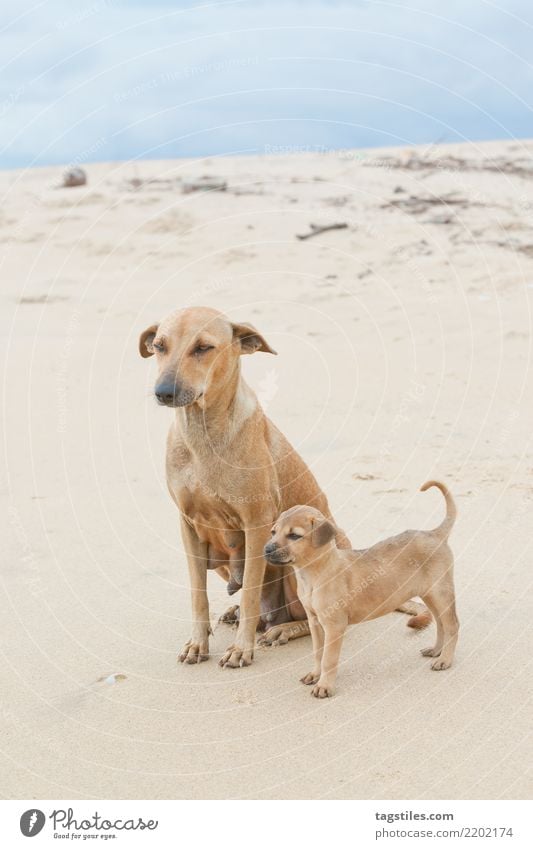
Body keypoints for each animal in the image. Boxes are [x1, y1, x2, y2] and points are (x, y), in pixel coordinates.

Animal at [138, 308, 428, 664]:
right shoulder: (190, 527)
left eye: (204, 347)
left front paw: (241, 648)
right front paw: (198, 642)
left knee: (310, 617)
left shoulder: (257, 525)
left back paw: (282, 629)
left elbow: (250, 592)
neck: (204, 432)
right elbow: (198, 595)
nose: (164, 392)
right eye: (159, 346)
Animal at [264, 480, 458, 700]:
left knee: (452, 625)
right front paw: (315, 674)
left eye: (294, 535)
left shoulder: (334, 626)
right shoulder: (315, 622)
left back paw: (445, 660)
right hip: (430, 595)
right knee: (441, 624)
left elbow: (328, 659)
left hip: (441, 593)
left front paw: (325, 685)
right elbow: (318, 653)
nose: (266, 550)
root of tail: (435, 533)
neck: (314, 573)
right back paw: (436, 651)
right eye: (273, 532)